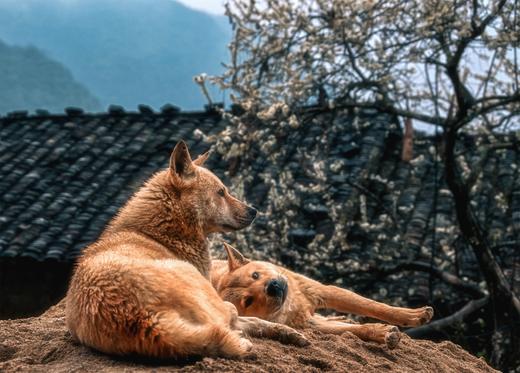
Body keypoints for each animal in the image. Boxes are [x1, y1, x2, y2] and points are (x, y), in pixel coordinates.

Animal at [66, 140, 306, 358]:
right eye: (221, 192)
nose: (254, 211)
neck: (159, 233)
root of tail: (146, 318)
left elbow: (254, 321)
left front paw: (287, 333)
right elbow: (247, 318)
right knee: (231, 318)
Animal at [211, 243, 434, 348]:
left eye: (255, 275)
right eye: (248, 300)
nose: (273, 287)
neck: (292, 306)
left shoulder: (323, 291)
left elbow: (375, 307)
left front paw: (414, 316)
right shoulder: (310, 324)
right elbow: (357, 329)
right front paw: (383, 333)